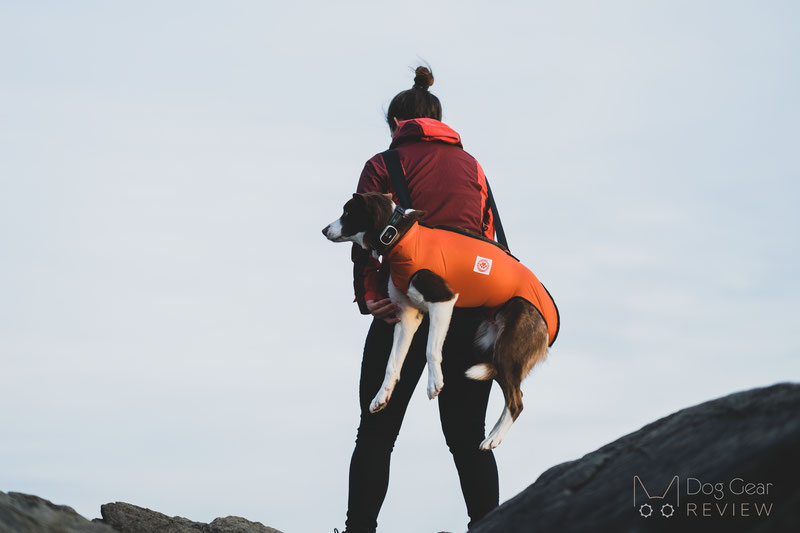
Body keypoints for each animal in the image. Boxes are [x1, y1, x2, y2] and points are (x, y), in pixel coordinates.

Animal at [322, 191, 560, 448]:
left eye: (347, 212)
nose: (324, 230)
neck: (400, 235)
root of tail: (550, 326)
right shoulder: (406, 316)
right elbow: (392, 363)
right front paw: (381, 395)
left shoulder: (442, 301)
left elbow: (431, 350)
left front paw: (434, 383)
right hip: (488, 346)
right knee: (513, 395)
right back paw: (492, 434)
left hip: (507, 350)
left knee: (517, 402)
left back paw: (494, 438)